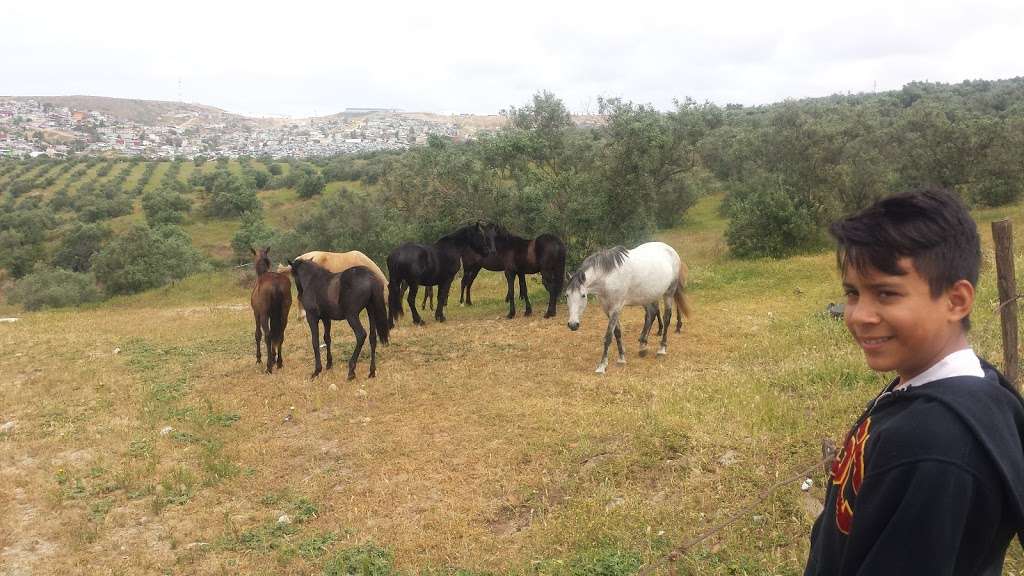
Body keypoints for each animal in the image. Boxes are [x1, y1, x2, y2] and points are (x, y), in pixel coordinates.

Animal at [565, 240, 692, 373]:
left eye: (583, 295)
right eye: (566, 295)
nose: (573, 325)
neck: (608, 277)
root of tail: (670, 249)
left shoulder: (615, 308)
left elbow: (608, 336)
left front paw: (602, 365)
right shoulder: (607, 309)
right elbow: (617, 332)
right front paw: (621, 358)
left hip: (669, 293)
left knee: (666, 317)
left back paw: (661, 349)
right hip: (649, 296)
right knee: (651, 315)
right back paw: (642, 346)